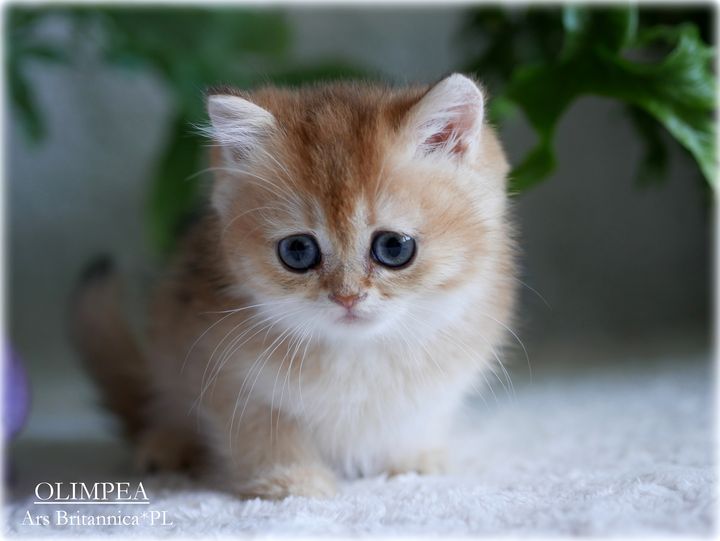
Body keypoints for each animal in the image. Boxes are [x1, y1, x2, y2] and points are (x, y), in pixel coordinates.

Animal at [71, 73, 517, 500]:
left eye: (394, 247)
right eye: (298, 251)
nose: (347, 296)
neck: (355, 355)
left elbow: (415, 421)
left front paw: (408, 461)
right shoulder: (226, 376)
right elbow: (264, 435)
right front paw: (290, 482)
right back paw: (168, 445)